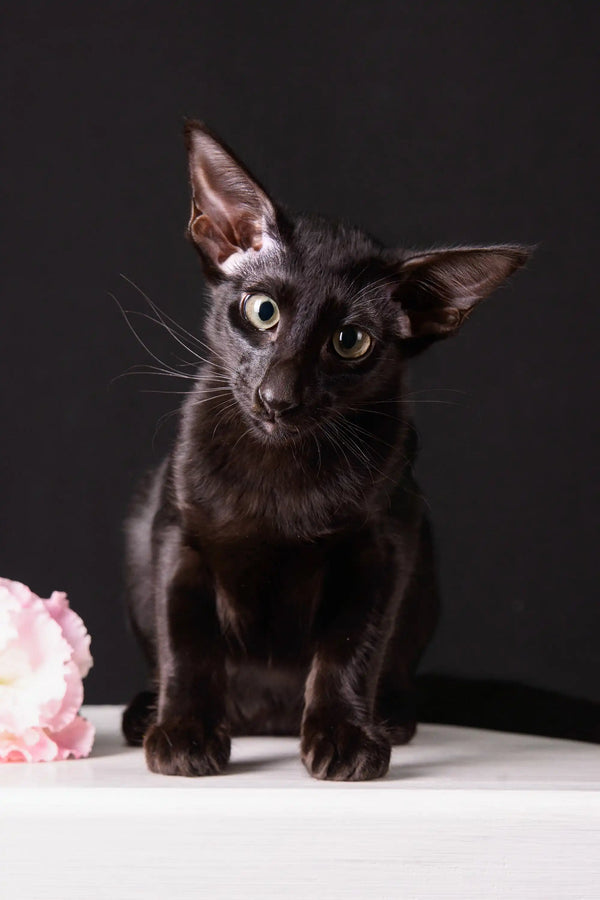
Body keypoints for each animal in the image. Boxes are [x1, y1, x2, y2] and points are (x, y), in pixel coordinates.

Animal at [122, 121, 528, 780]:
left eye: (350, 340)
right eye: (263, 310)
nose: (277, 396)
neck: (278, 472)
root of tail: (265, 720)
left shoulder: (386, 542)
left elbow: (350, 647)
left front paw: (345, 737)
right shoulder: (177, 532)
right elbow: (187, 641)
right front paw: (183, 732)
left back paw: (390, 716)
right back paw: (145, 713)